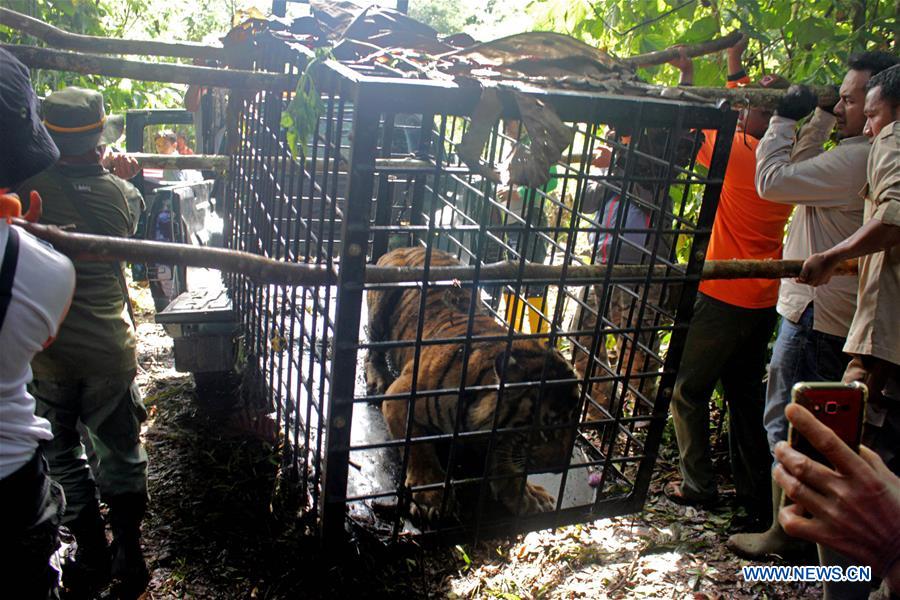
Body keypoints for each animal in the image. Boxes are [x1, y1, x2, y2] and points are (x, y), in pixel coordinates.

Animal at [366, 246, 584, 524]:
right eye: (547, 430)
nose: (558, 469)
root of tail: (410, 247)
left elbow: (504, 460)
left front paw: (526, 495)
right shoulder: (401, 396)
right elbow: (419, 446)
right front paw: (432, 495)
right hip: (383, 300)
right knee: (372, 348)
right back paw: (377, 377)